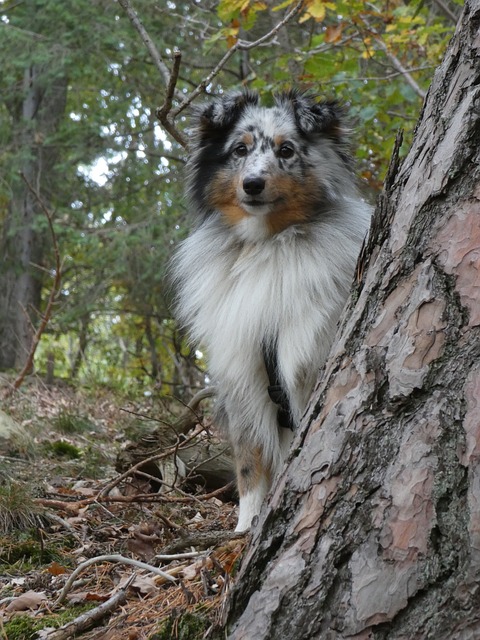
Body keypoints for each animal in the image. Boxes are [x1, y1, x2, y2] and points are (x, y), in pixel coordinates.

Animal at [172, 90, 372, 528]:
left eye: (286, 150)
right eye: (239, 150)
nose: (252, 184)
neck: (269, 245)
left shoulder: (307, 365)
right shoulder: (243, 377)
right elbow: (250, 465)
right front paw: (245, 528)